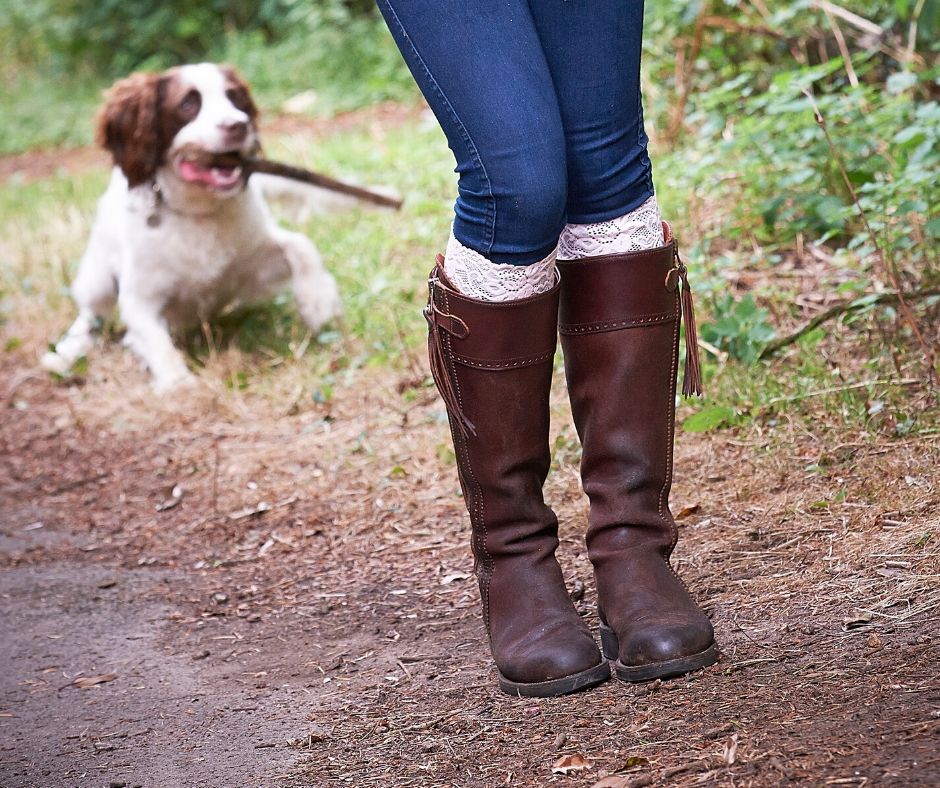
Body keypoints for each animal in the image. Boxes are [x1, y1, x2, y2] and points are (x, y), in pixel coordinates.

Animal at [41, 63, 342, 390]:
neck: (197, 212)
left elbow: (301, 246)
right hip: (96, 278)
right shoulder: (139, 296)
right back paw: (66, 353)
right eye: (187, 104)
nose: (239, 125)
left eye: (235, 98)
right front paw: (177, 384)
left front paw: (318, 303)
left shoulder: (250, 270)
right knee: (91, 316)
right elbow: (153, 338)